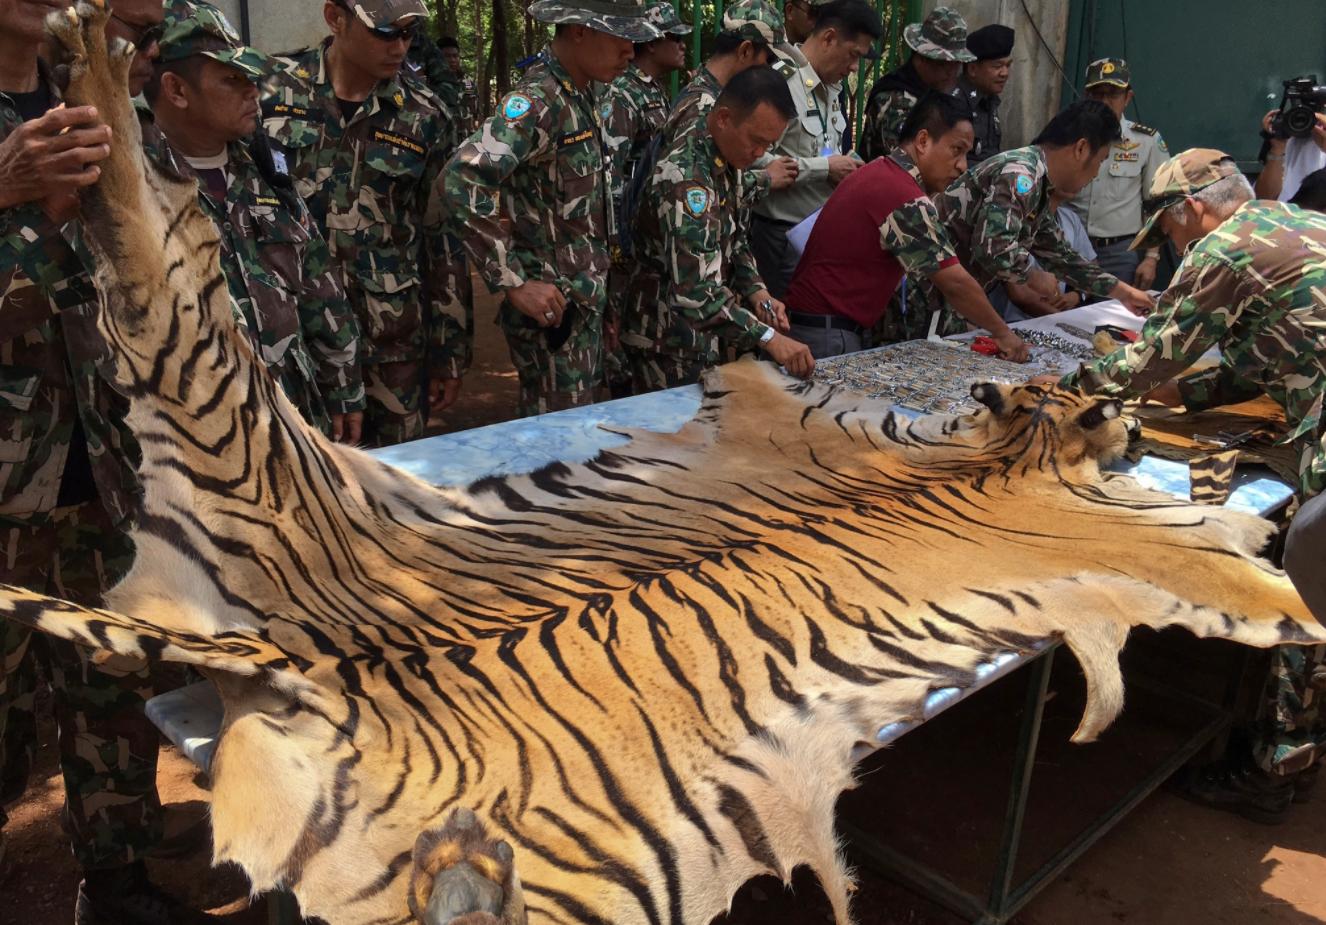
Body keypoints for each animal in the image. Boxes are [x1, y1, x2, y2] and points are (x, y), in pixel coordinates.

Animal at [5, 5, 1324, 925]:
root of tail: (290, 653)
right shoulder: (1149, 540)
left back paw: (87, 74)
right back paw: (86, 81)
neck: (1000, 446)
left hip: (264, 470)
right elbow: (1256, 581)